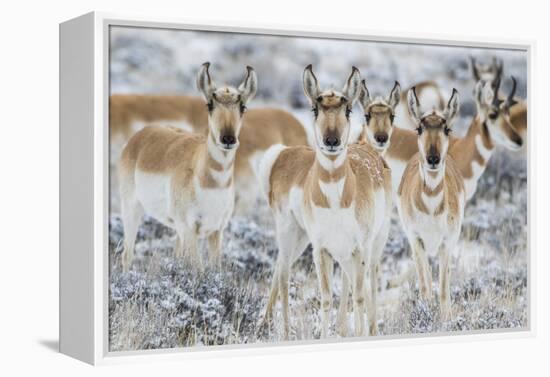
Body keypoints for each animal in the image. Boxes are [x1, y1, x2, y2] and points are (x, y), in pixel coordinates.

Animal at [118, 64, 258, 270]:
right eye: (209, 104)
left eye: (243, 106)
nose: (228, 139)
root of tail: (140, 136)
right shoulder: (190, 230)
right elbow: (198, 269)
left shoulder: (216, 232)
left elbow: (216, 269)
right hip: (131, 209)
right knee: (127, 254)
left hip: (176, 230)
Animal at [256, 65, 394, 338]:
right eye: (315, 108)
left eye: (348, 109)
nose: (332, 141)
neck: (335, 201)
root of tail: (282, 154)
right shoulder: (321, 249)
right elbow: (327, 298)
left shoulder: (358, 248)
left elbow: (358, 295)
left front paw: (355, 333)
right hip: (291, 233)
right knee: (283, 273)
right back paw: (283, 331)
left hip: (363, 242)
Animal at [398, 86, 468, 318]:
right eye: (419, 128)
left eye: (447, 129)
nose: (433, 159)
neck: (430, 208)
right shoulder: (416, 239)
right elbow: (425, 284)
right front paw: (425, 311)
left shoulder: (447, 242)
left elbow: (444, 287)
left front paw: (446, 317)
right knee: (426, 276)